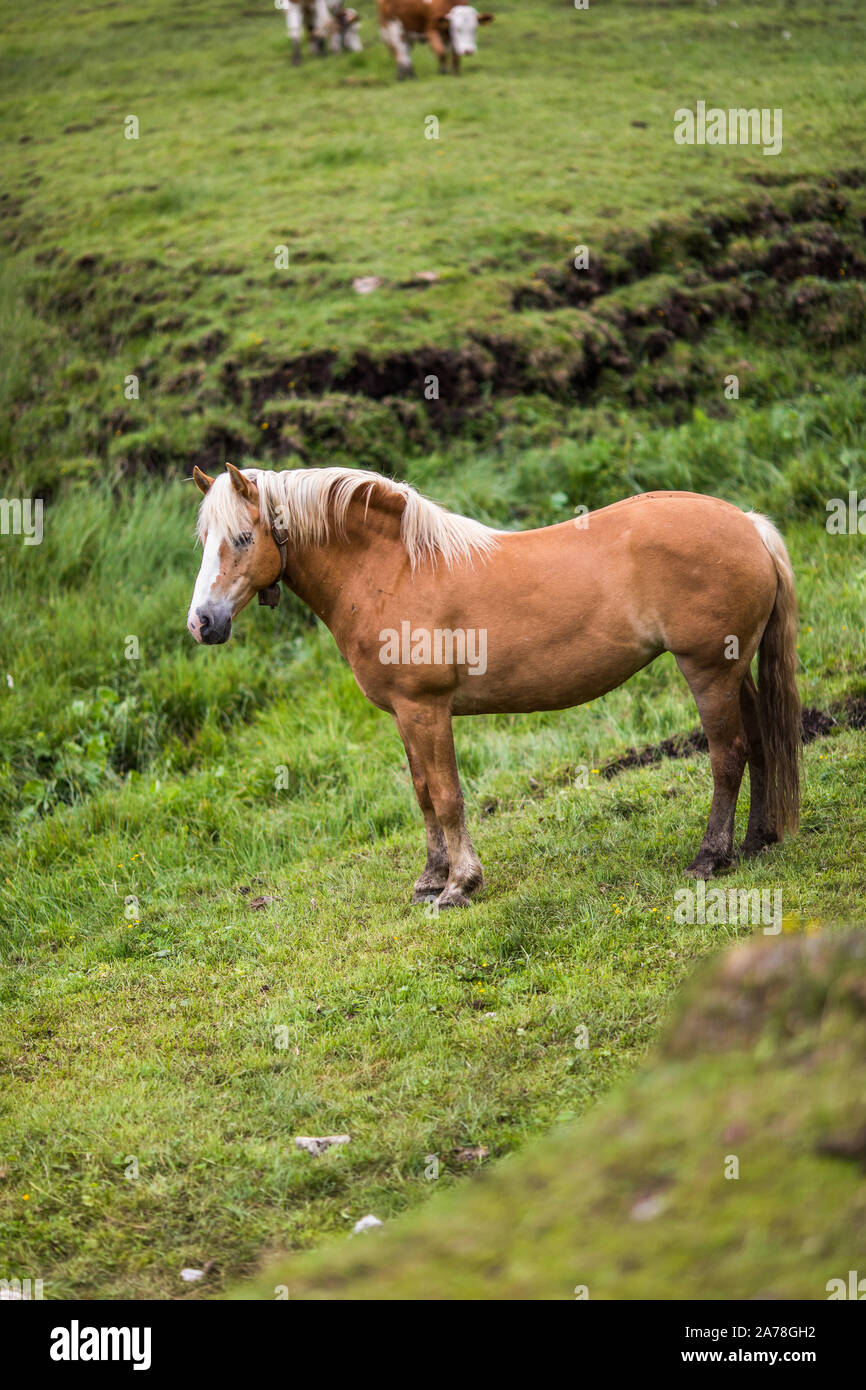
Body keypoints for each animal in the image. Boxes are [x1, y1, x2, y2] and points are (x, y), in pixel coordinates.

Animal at [186, 461, 800, 906]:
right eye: (205, 538)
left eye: (243, 537)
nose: (202, 623)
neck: (395, 571)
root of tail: (747, 523)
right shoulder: (406, 714)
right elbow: (423, 794)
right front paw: (430, 880)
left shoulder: (426, 708)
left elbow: (447, 796)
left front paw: (460, 885)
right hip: (734, 669)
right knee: (760, 742)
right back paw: (755, 841)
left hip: (707, 670)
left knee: (728, 754)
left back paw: (710, 856)